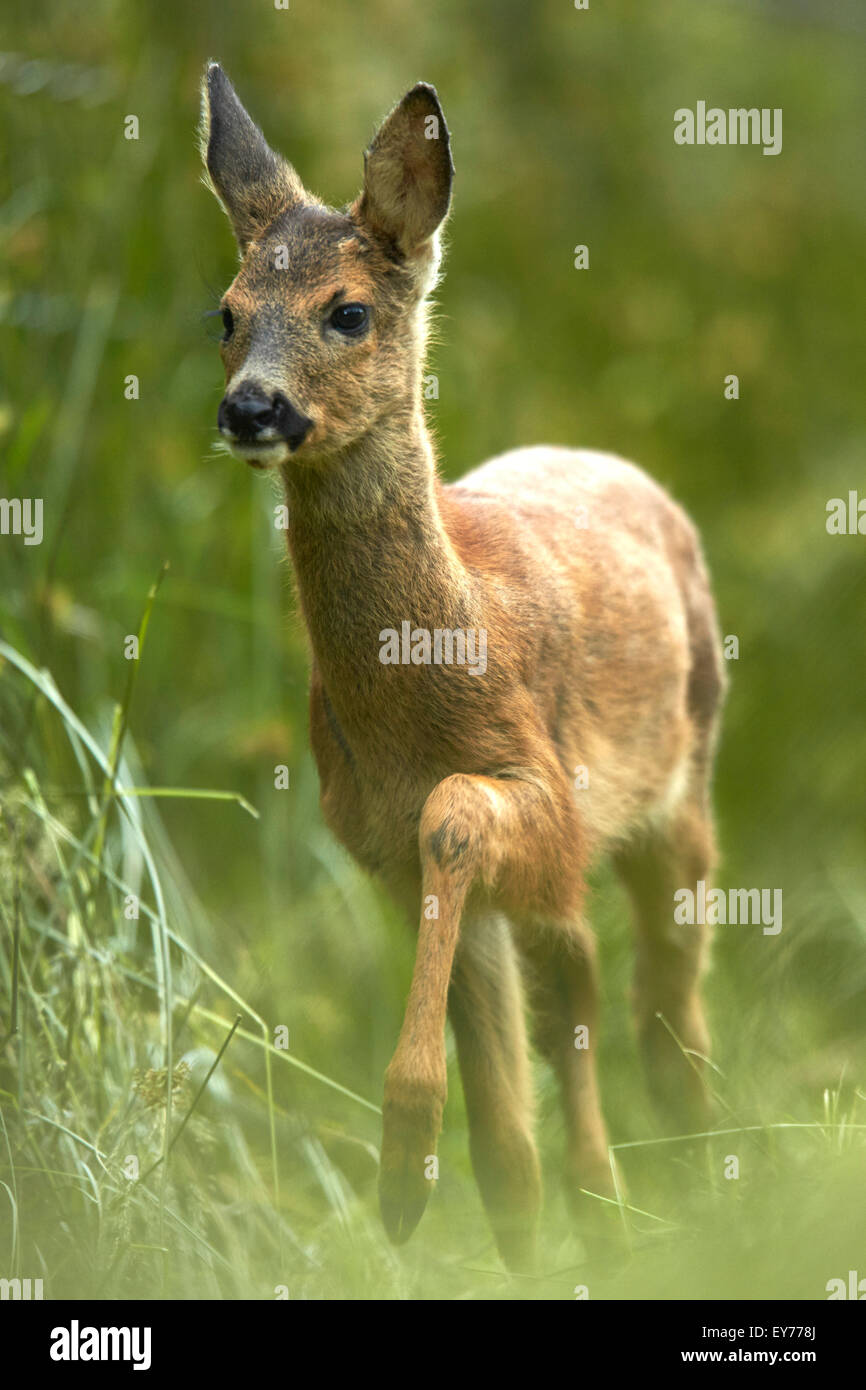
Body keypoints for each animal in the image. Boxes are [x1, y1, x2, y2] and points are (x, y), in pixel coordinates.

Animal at [199, 63, 726, 1271]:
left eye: (348, 311)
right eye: (227, 314)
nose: (251, 408)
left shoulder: (541, 791)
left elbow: (456, 815)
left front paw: (400, 1157)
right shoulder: (378, 843)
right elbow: (502, 1144)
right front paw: (438, 1190)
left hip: (680, 786)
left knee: (662, 996)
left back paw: (698, 1166)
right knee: (580, 982)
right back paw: (607, 1196)